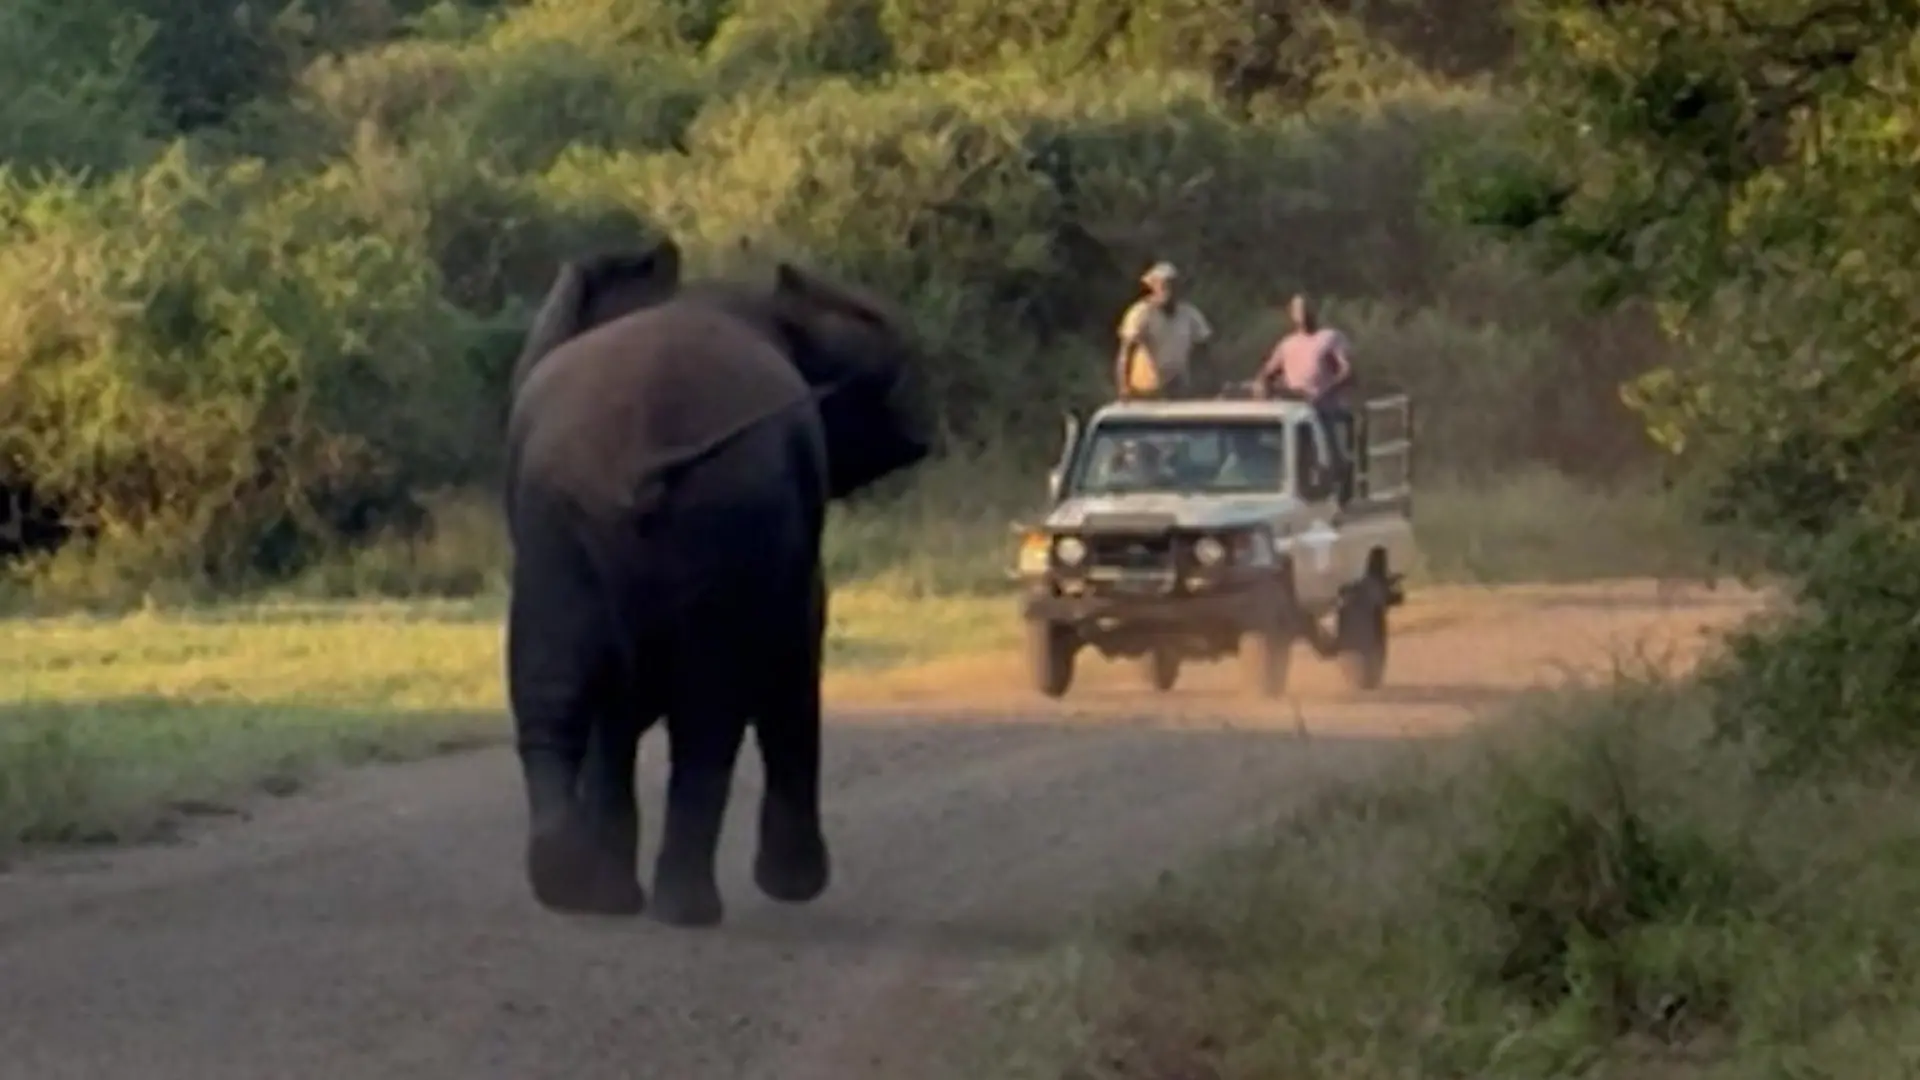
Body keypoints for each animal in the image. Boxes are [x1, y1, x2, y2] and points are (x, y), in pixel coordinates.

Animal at [504, 238, 931, 927]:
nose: (788, 266)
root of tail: (641, 459)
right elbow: (794, 659)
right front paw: (794, 887)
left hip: (560, 525)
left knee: (554, 695)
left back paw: (577, 889)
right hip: (724, 509)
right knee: (709, 714)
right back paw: (685, 909)